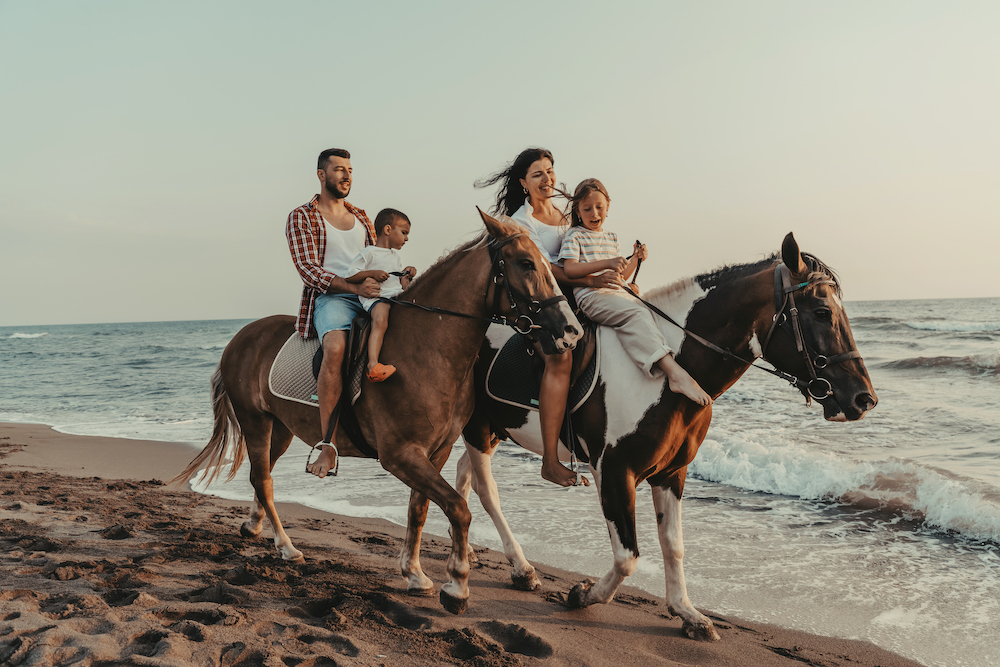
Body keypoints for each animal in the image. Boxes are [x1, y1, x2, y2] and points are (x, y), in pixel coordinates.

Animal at [171, 213, 580, 616]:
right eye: (526, 264)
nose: (571, 331)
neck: (427, 350)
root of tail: (241, 337)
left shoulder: (436, 452)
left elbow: (420, 509)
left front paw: (414, 574)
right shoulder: (399, 455)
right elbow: (458, 508)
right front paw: (457, 586)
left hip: (281, 429)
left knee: (262, 476)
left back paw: (256, 528)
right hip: (255, 422)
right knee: (264, 480)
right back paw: (287, 548)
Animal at [452, 232, 876, 640]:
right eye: (822, 312)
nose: (864, 398)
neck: (673, 372)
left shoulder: (672, 472)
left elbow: (673, 545)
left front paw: (687, 613)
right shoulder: (614, 470)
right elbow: (628, 556)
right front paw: (583, 594)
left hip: (493, 428)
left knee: (462, 473)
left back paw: (467, 554)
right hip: (477, 425)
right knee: (487, 490)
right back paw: (520, 567)